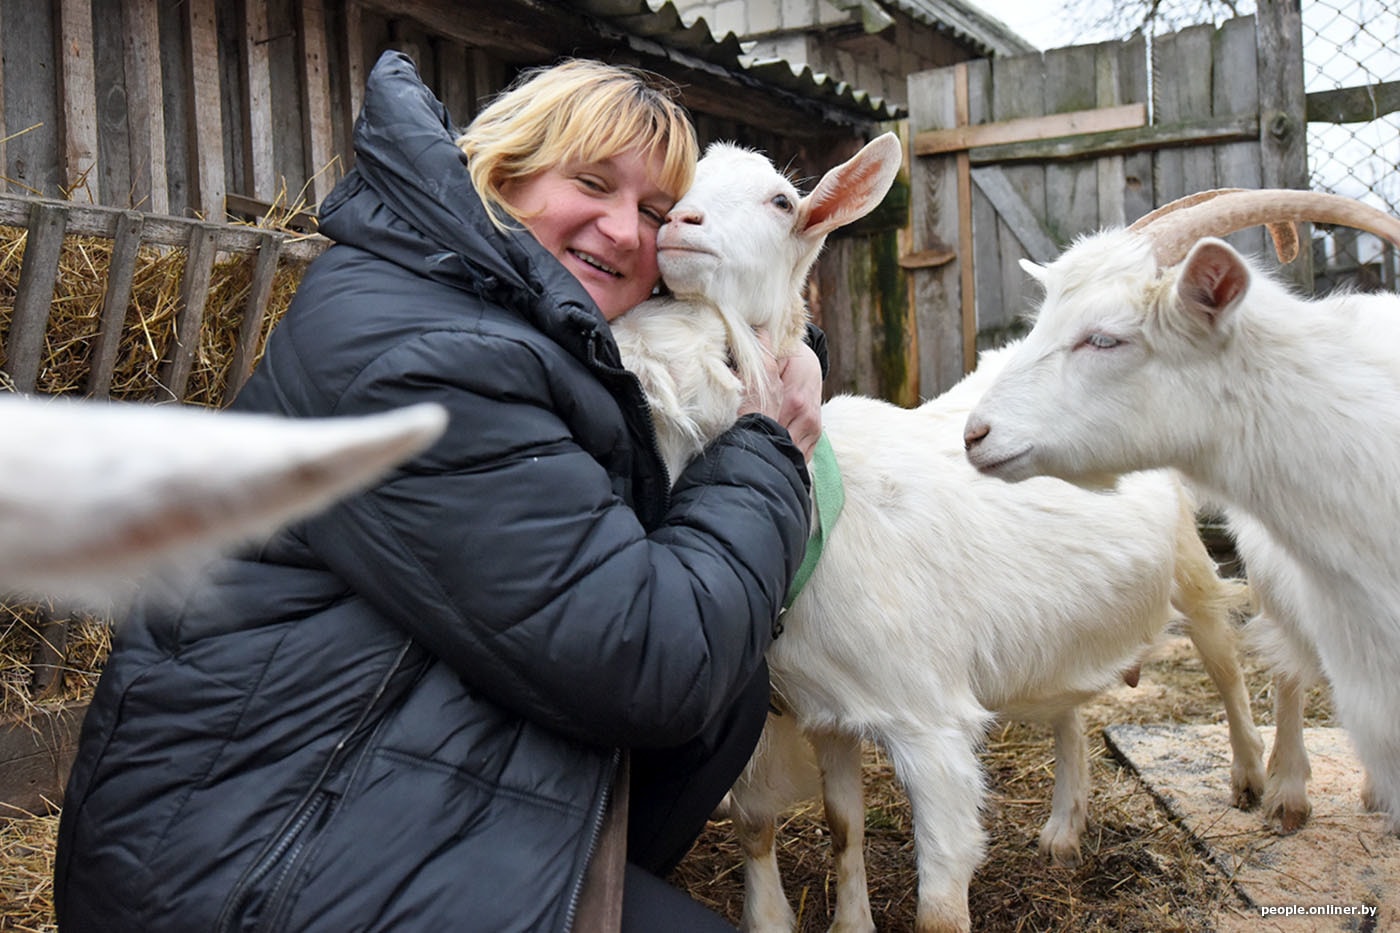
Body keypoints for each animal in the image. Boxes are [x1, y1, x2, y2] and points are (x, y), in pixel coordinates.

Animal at [613, 140, 1271, 930]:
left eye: (781, 201)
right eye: (681, 183)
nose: (680, 224)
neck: (827, 504)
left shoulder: (930, 727)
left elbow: (940, 904)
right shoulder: (824, 709)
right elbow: (831, 824)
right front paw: (839, 920)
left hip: (1188, 562)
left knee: (1225, 660)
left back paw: (1254, 782)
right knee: (1071, 705)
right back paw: (1062, 827)